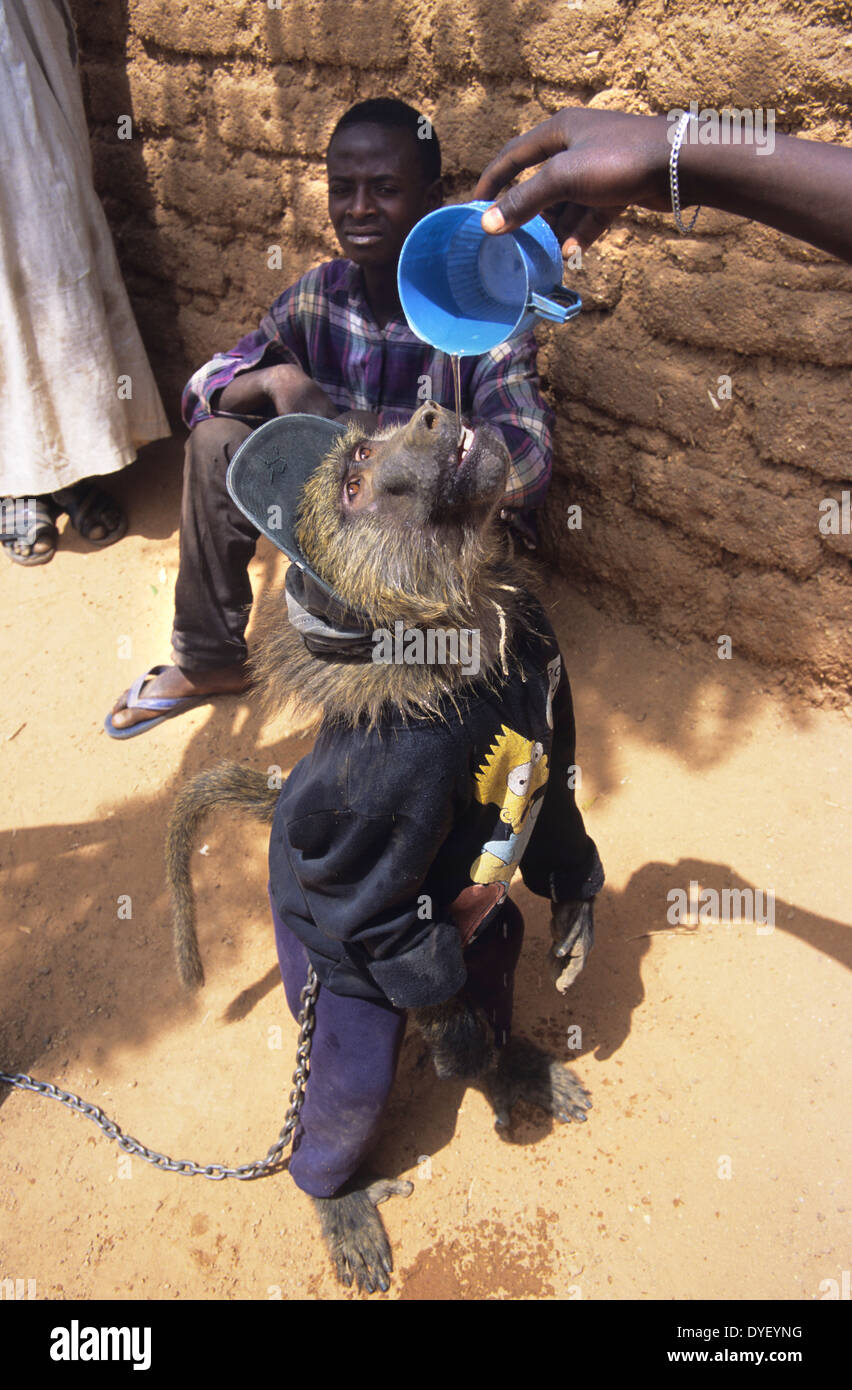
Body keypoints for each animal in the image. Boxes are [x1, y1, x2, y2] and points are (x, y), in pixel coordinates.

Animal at [167, 400, 603, 1293]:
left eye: (374, 440)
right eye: (358, 481)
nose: (433, 412)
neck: (462, 632)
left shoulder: (538, 640)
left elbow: (561, 792)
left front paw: (576, 904)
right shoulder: (385, 786)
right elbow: (375, 909)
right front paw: (459, 1046)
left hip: (479, 936)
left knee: (495, 947)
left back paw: (512, 1061)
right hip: (316, 966)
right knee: (349, 1079)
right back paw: (339, 1193)